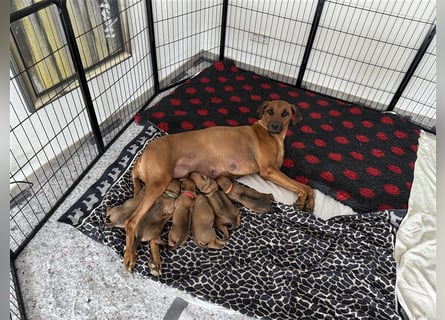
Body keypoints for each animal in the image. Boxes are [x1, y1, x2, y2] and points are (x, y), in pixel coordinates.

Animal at [123, 99, 314, 270]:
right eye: (270, 111)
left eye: (285, 113)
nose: (274, 126)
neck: (271, 135)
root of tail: (142, 154)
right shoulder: (269, 171)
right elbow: (304, 187)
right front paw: (303, 201)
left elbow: (308, 188)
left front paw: (308, 204)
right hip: (158, 185)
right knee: (131, 222)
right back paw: (130, 254)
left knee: (152, 237)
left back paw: (155, 262)